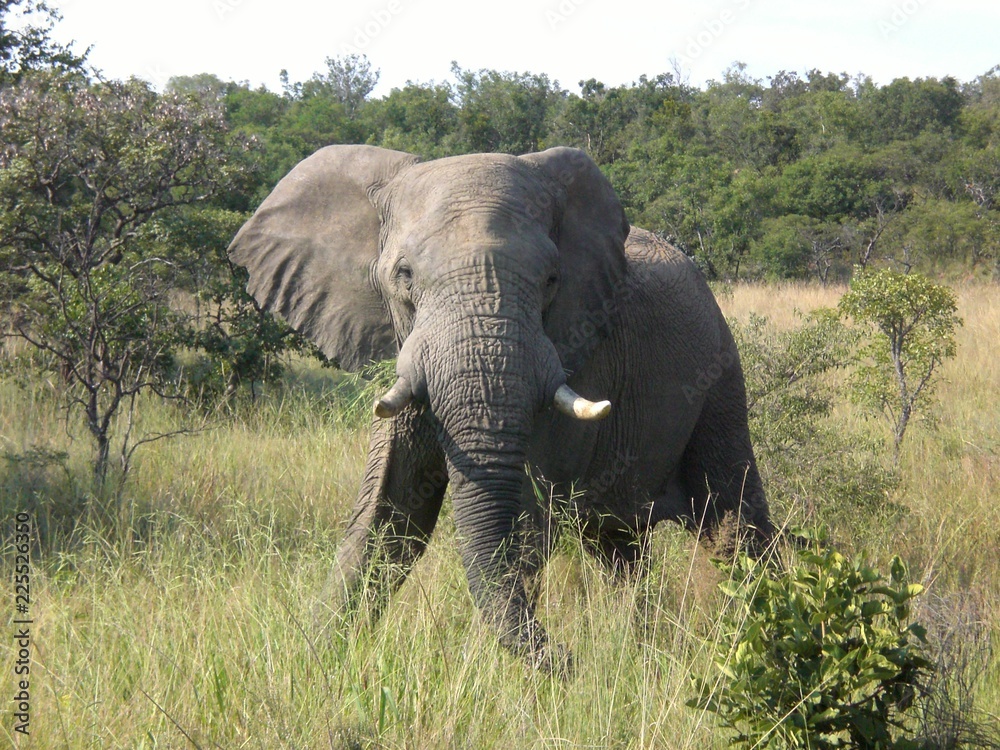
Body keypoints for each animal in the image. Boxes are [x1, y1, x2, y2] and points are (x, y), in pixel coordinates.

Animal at [228, 144, 772, 669]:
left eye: (552, 280)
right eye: (404, 275)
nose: (571, 657)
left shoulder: (573, 354)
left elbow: (524, 522)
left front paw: (489, 673)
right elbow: (389, 516)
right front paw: (311, 659)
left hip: (720, 374)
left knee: (733, 522)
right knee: (619, 548)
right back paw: (642, 648)